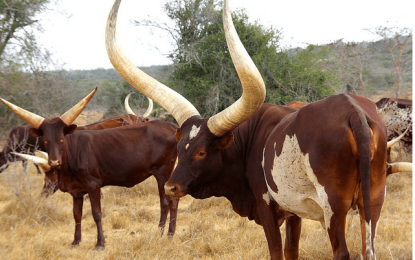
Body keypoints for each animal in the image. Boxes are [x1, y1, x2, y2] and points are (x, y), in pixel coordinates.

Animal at [105, 0, 412, 258]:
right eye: (180, 147)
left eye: (202, 152)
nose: (171, 186)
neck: (248, 141)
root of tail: (353, 112)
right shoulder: (293, 211)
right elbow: (291, 251)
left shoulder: (266, 207)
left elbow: (276, 251)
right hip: (374, 200)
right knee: (368, 249)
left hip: (334, 208)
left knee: (343, 252)